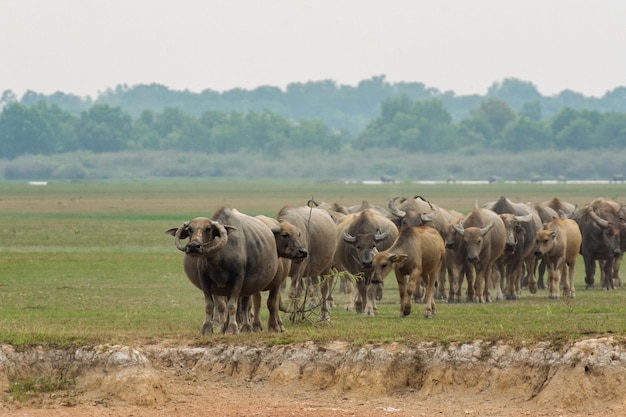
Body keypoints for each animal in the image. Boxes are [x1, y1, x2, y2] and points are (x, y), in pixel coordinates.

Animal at [165, 206, 276, 334]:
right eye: (190, 229)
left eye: (208, 229)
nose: (193, 246)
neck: (218, 262)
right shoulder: (205, 282)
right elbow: (209, 305)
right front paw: (206, 329)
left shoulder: (238, 281)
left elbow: (233, 306)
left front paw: (233, 328)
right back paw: (224, 328)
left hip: (249, 286)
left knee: (244, 304)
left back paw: (245, 327)